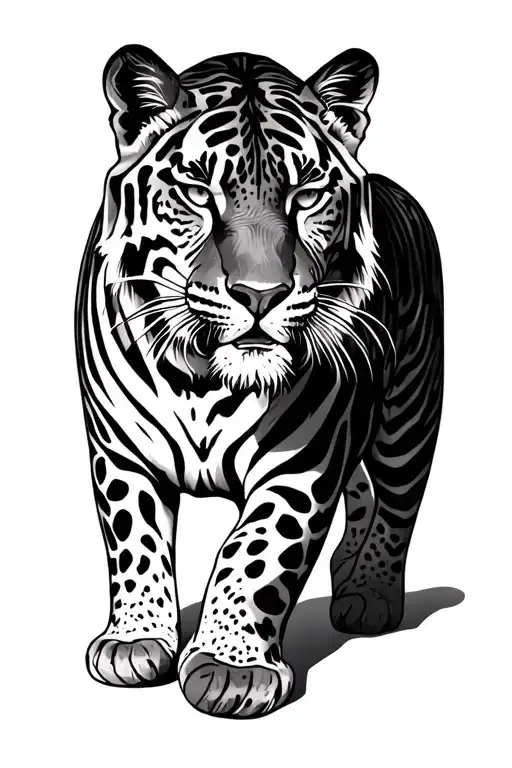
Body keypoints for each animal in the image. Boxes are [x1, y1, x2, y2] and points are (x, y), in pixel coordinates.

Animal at [75, 44, 443, 718]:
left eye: (306, 192)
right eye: (197, 191)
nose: (260, 294)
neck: (200, 377)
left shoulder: (301, 461)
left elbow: (254, 553)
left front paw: (230, 669)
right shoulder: (121, 452)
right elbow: (135, 541)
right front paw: (135, 640)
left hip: (409, 414)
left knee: (398, 504)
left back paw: (370, 594)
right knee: (362, 494)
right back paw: (347, 570)